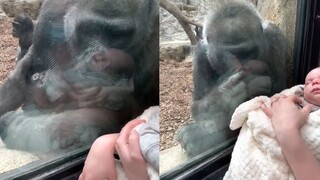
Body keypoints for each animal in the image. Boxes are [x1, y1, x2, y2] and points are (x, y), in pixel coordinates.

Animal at [176, 0, 286, 158]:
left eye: (249, 52)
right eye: (232, 55)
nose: (246, 67)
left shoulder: (275, 37)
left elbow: (280, 93)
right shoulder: (201, 53)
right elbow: (197, 107)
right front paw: (227, 93)